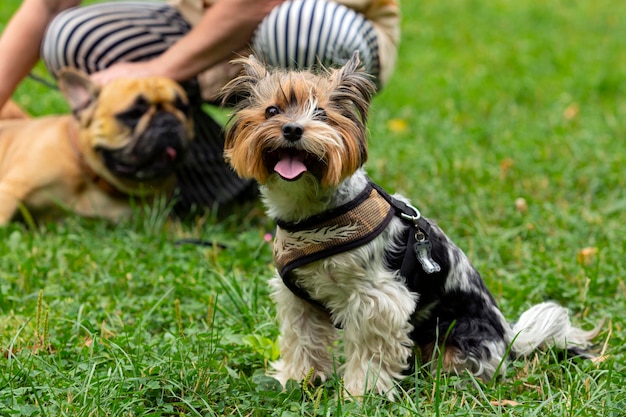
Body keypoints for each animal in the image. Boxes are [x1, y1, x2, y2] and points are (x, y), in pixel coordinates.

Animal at [222, 53, 596, 398]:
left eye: (323, 114)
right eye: (272, 111)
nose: (292, 129)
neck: (313, 215)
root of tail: (509, 336)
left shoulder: (377, 300)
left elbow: (369, 353)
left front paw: (360, 393)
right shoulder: (297, 300)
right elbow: (301, 340)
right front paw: (296, 379)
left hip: (459, 335)